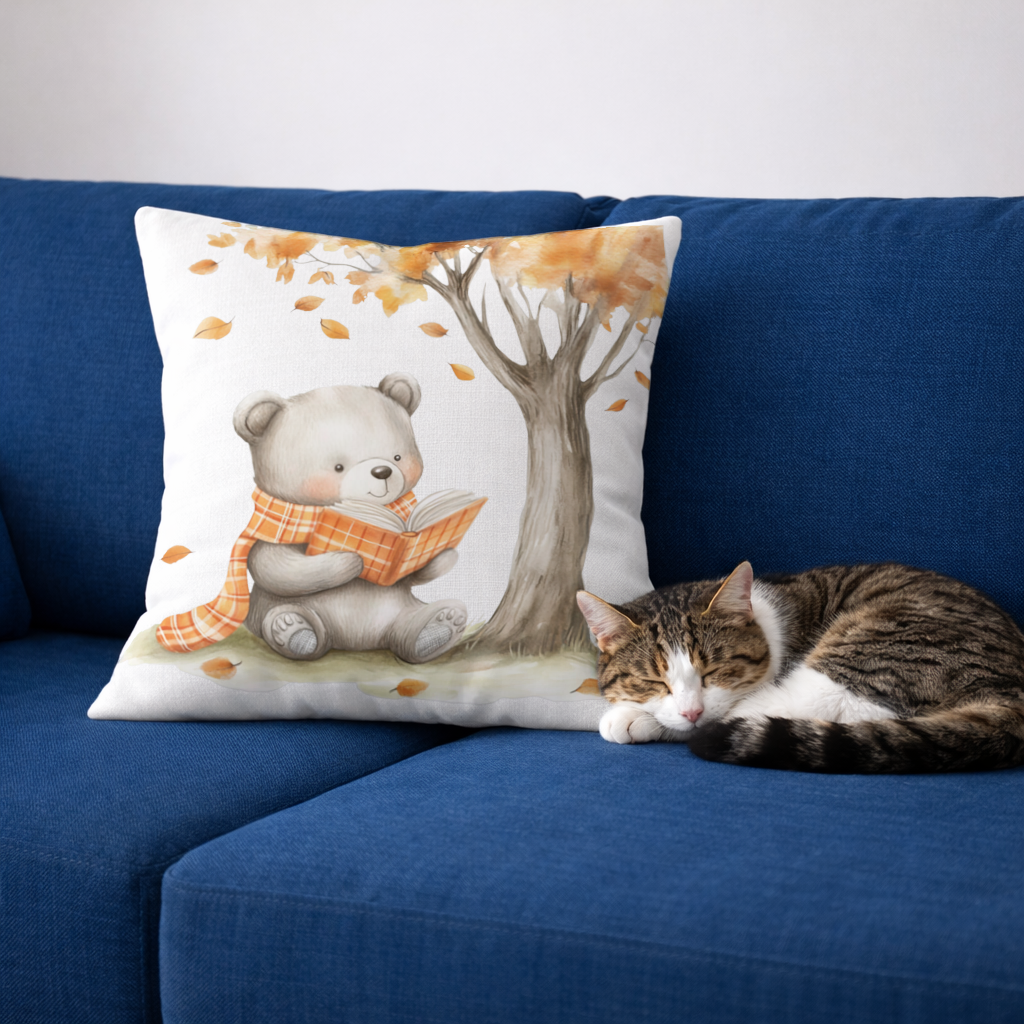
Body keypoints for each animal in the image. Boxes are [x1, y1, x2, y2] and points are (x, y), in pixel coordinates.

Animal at [233, 372, 468, 664]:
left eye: (398, 456)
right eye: (338, 467)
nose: (382, 471)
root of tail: (358, 642)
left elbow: (413, 573)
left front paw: (443, 554)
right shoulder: (278, 537)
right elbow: (276, 568)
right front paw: (350, 560)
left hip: (399, 610)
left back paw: (440, 624)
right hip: (272, 610)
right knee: (291, 616)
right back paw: (291, 628)